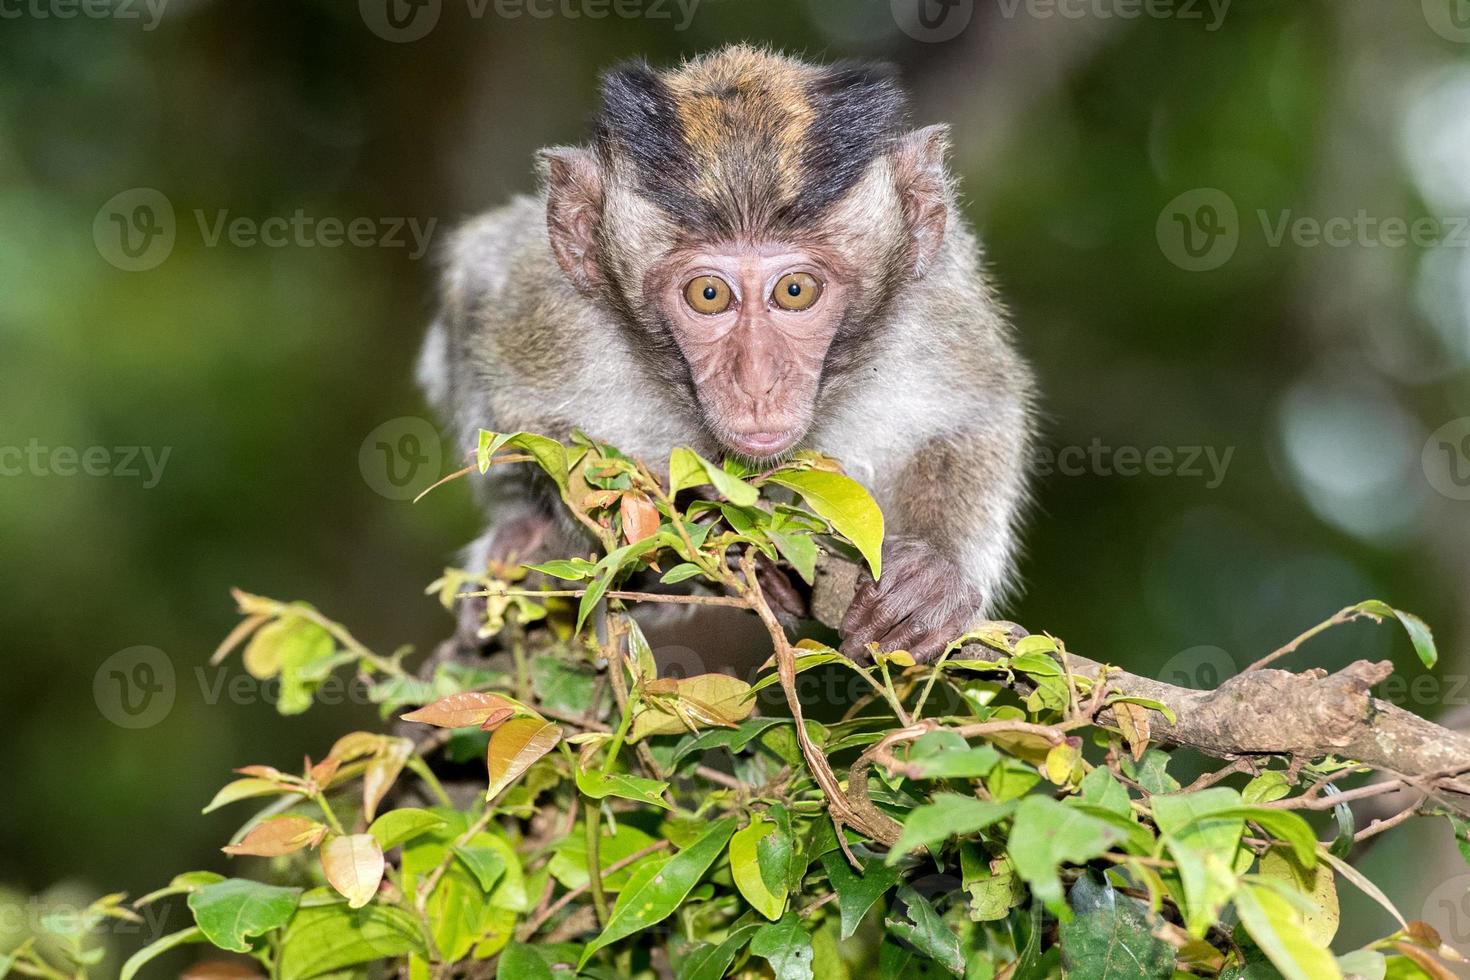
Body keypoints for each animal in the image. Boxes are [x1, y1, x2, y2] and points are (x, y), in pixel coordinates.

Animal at [414, 42, 1034, 664]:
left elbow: (977, 413)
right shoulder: (549, 309)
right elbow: (525, 414)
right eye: (708, 295)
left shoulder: (935, 302)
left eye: (795, 291)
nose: (757, 381)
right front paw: (695, 517)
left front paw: (933, 574)